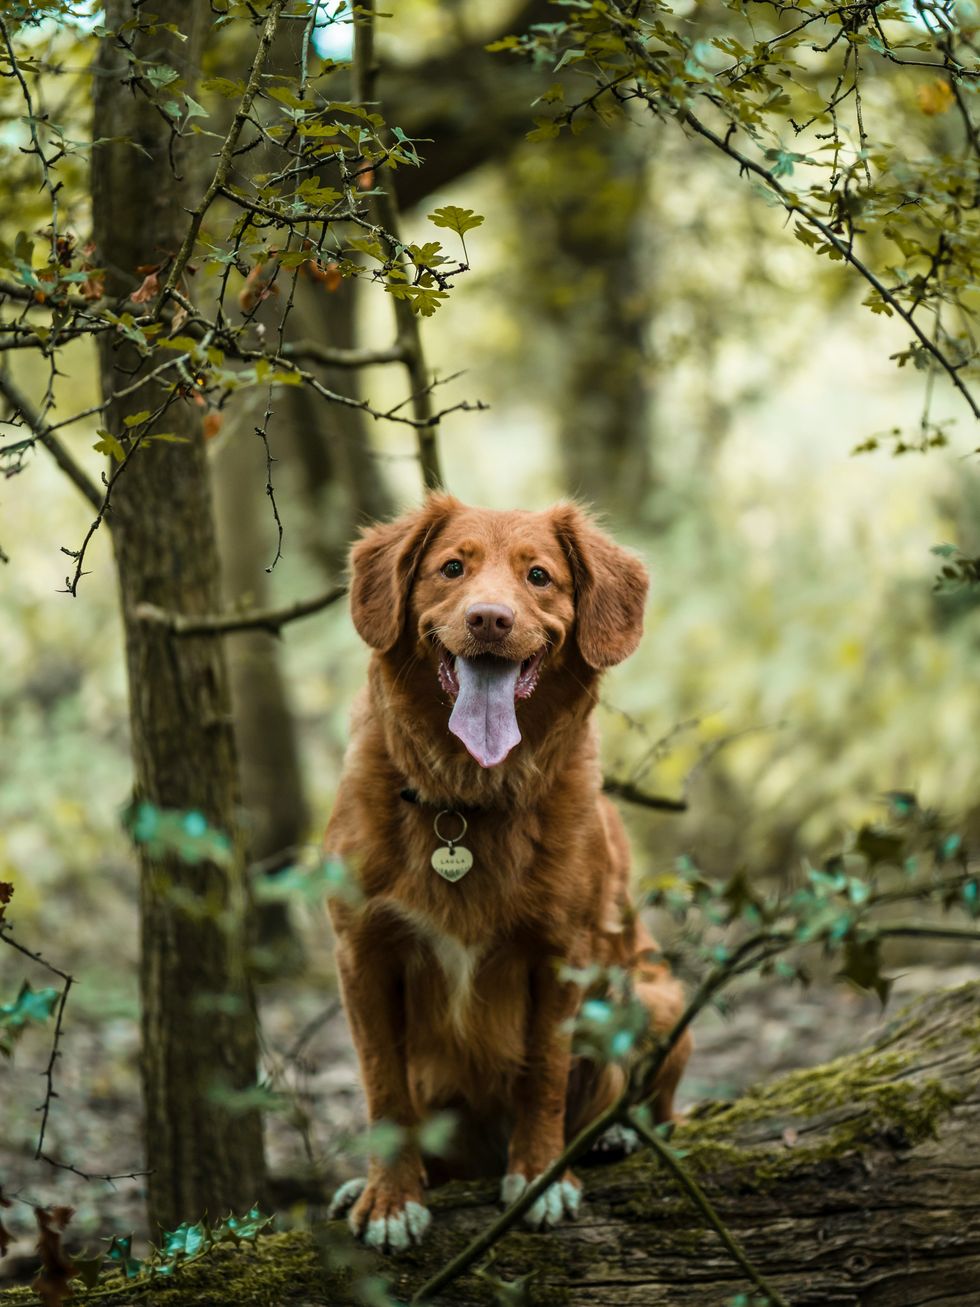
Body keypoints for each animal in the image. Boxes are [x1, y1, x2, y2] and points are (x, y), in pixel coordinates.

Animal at [324, 494, 689, 1249]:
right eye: (451, 568)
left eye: (539, 576)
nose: (489, 619)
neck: (467, 796)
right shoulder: (361, 952)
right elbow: (382, 1086)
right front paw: (390, 1198)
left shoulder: (562, 953)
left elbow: (544, 1074)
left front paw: (541, 1176)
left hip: (655, 996)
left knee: (656, 1103)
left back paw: (616, 1135)